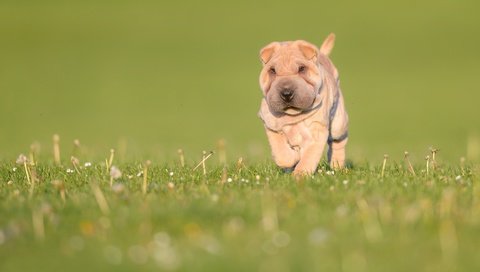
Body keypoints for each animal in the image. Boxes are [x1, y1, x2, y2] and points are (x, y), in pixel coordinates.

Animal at [258, 33, 348, 176]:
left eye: (302, 69)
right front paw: (293, 159)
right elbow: (282, 154)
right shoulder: (271, 125)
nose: (286, 93)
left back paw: (337, 165)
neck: (293, 114)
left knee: (338, 141)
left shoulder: (317, 132)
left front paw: (300, 175)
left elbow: (308, 158)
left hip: (338, 124)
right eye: (272, 71)